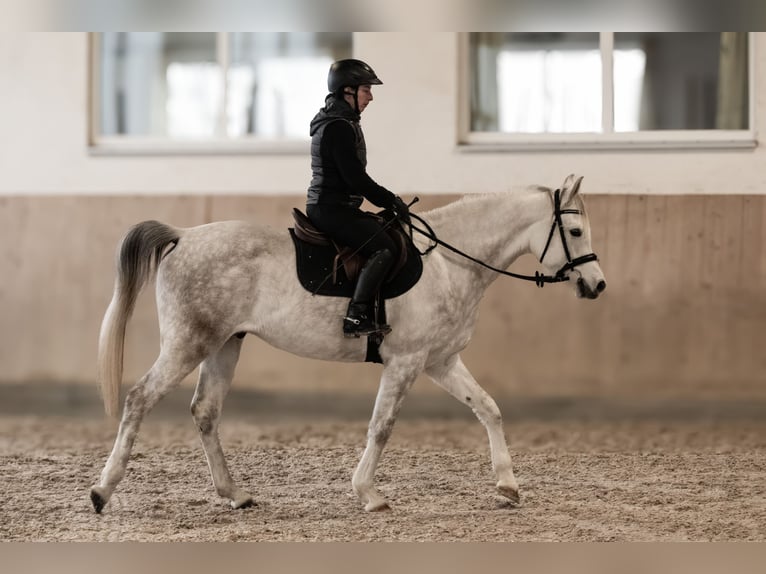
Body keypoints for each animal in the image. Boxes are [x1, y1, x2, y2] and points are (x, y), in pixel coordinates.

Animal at [90, 173, 608, 516]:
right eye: (575, 231)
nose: (598, 285)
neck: (449, 265)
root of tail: (182, 236)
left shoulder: (440, 361)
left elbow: (489, 408)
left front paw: (508, 485)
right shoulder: (407, 362)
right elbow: (382, 426)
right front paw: (369, 494)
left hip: (223, 345)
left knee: (205, 411)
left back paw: (235, 494)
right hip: (188, 344)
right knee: (139, 399)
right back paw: (102, 491)